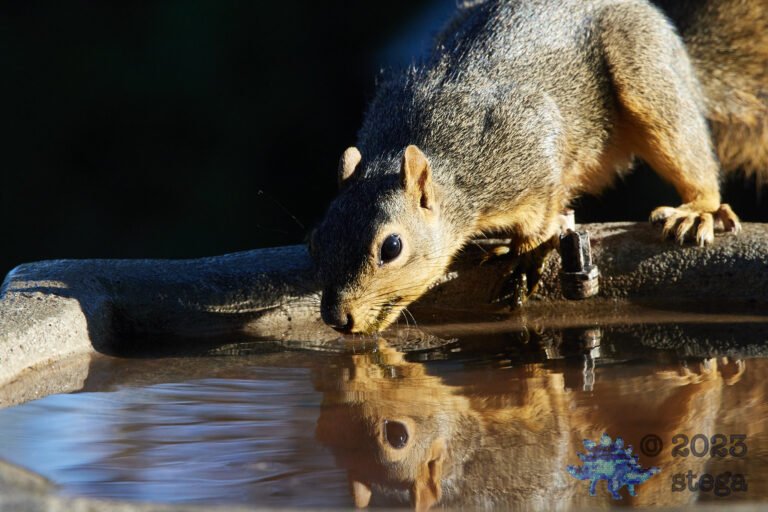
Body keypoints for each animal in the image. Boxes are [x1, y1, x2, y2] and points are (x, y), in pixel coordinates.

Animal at [310, 0, 768, 334]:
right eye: (316, 240)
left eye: (391, 247)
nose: (338, 318)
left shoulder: (530, 144)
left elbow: (543, 211)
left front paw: (525, 253)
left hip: (647, 79)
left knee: (687, 150)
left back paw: (698, 210)